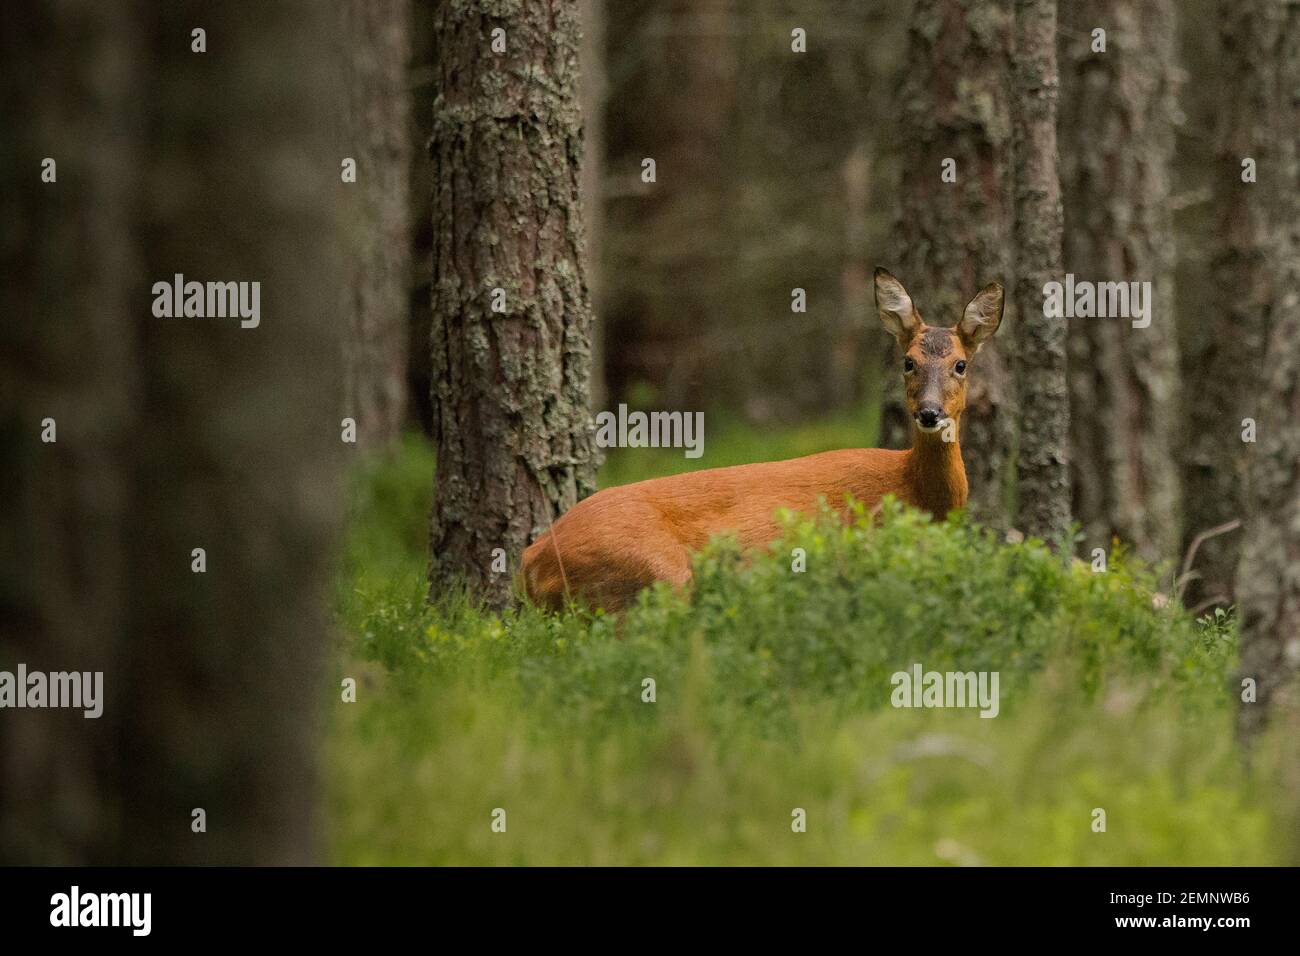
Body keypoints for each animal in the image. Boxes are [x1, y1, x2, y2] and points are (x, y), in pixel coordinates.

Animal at [522, 268, 1004, 612]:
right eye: (908, 362)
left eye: (960, 364)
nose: (929, 413)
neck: (916, 493)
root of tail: (531, 557)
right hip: (654, 574)